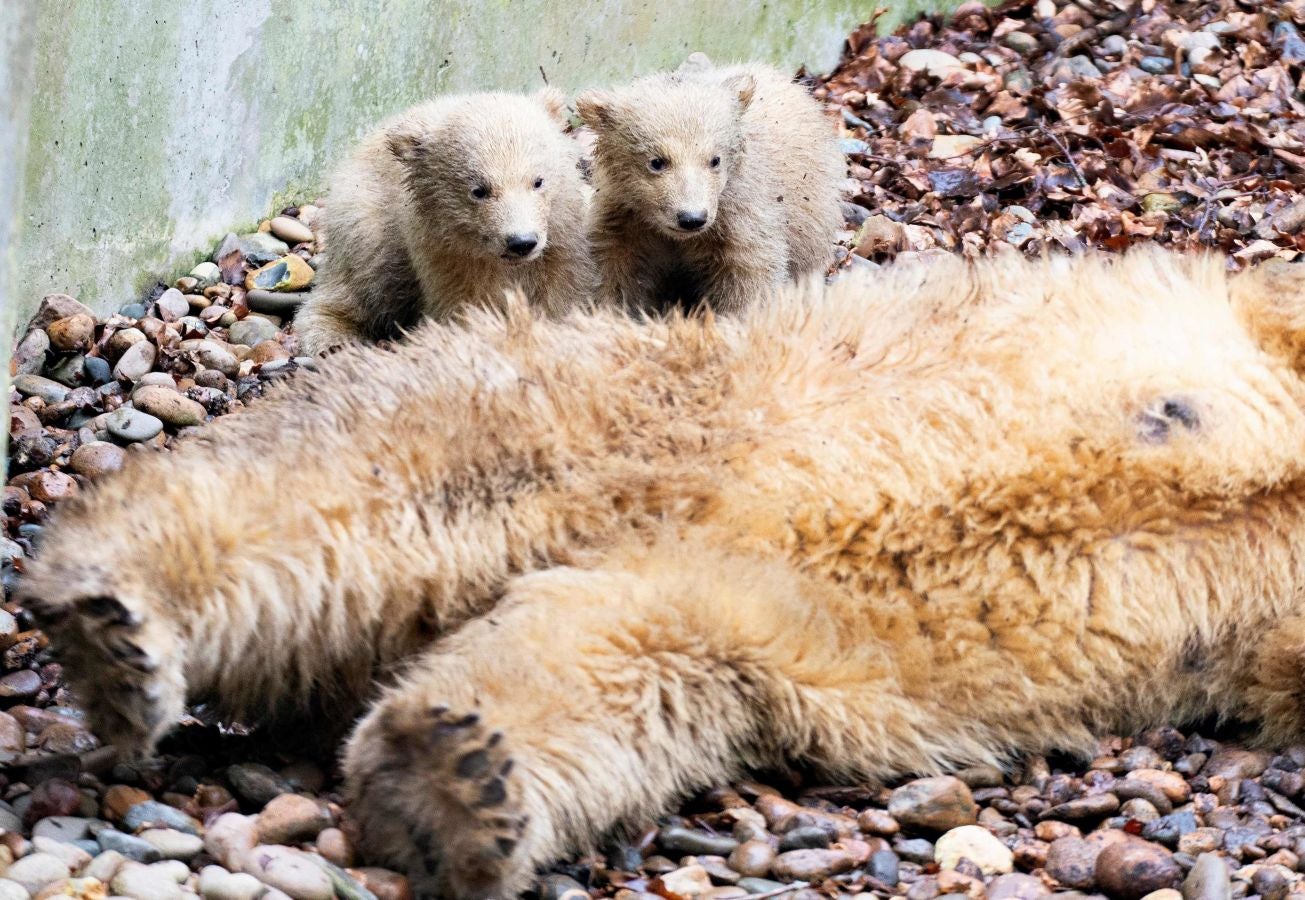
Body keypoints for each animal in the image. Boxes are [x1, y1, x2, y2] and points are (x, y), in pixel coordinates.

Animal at [17, 249, 1305, 892]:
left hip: (730, 601)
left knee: (609, 668)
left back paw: (452, 776)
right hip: (666, 404)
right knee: (404, 465)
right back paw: (115, 609)